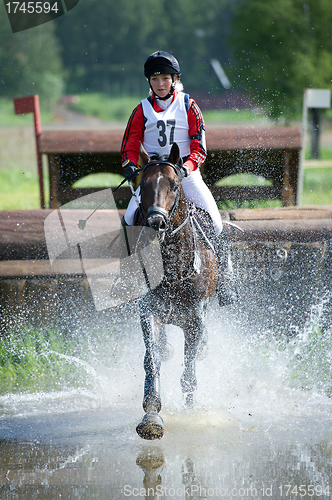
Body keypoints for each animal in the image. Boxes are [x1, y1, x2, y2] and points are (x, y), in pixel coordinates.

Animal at [134, 143, 219, 440]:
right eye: (143, 185)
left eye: (172, 184)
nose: (156, 222)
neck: (173, 270)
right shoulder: (149, 312)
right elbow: (153, 359)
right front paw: (151, 416)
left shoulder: (195, 322)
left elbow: (189, 372)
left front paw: (190, 412)